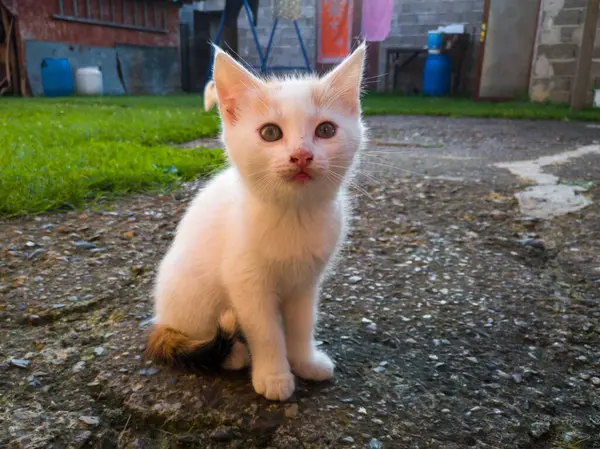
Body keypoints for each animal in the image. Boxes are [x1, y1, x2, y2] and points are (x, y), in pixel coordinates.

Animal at [148, 43, 368, 400]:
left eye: (326, 130)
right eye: (270, 133)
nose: (302, 155)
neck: (293, 215)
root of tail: (160, 320)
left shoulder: (306, 281)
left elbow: (301, 323)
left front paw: (305, 362)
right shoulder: (246, 281)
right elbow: (266, 331)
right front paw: (275, 376)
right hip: (191, 292)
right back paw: (233, 354)